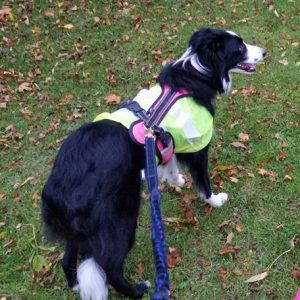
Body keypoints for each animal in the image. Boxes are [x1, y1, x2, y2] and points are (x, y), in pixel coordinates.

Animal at [41, 28, 264, 300]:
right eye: (240, 48)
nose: (265, 52)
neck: (197, 72)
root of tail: (56, 191)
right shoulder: (198, 149)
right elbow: (203, 183)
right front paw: (215, 200)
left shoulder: (168, 142)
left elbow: (169, 161)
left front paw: (175, 180)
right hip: (122, 218)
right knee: (110, 266)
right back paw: (137, 290)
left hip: (77, 232)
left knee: (67, 259)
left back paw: (75, 284)